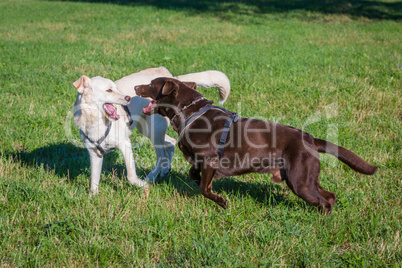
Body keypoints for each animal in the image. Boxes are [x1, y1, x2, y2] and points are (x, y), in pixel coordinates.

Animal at [72, 66, 229, 193]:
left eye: (115, 88)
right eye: (109, 90)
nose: (128, 97)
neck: (95, 121)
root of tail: (170, 76)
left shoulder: (125, 144)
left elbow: (131, 175)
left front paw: (142, 185)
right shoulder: (95, 153)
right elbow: (94, 179)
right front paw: (93, 197)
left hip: (154, 131)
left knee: (161, 155)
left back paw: (150, 178)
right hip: (148, 130)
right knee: (170, 143)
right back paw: (165, 171)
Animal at [137, 77, 378, 214]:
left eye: (151, 85)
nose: (136, 86)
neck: (188, 112)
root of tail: (310, 138)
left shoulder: (210, 159)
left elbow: (205, 189)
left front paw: (222, 202)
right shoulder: (200, 162)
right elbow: (194, 175)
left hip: (299, 180)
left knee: (324, 202)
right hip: (306, 178)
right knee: (330, 196)